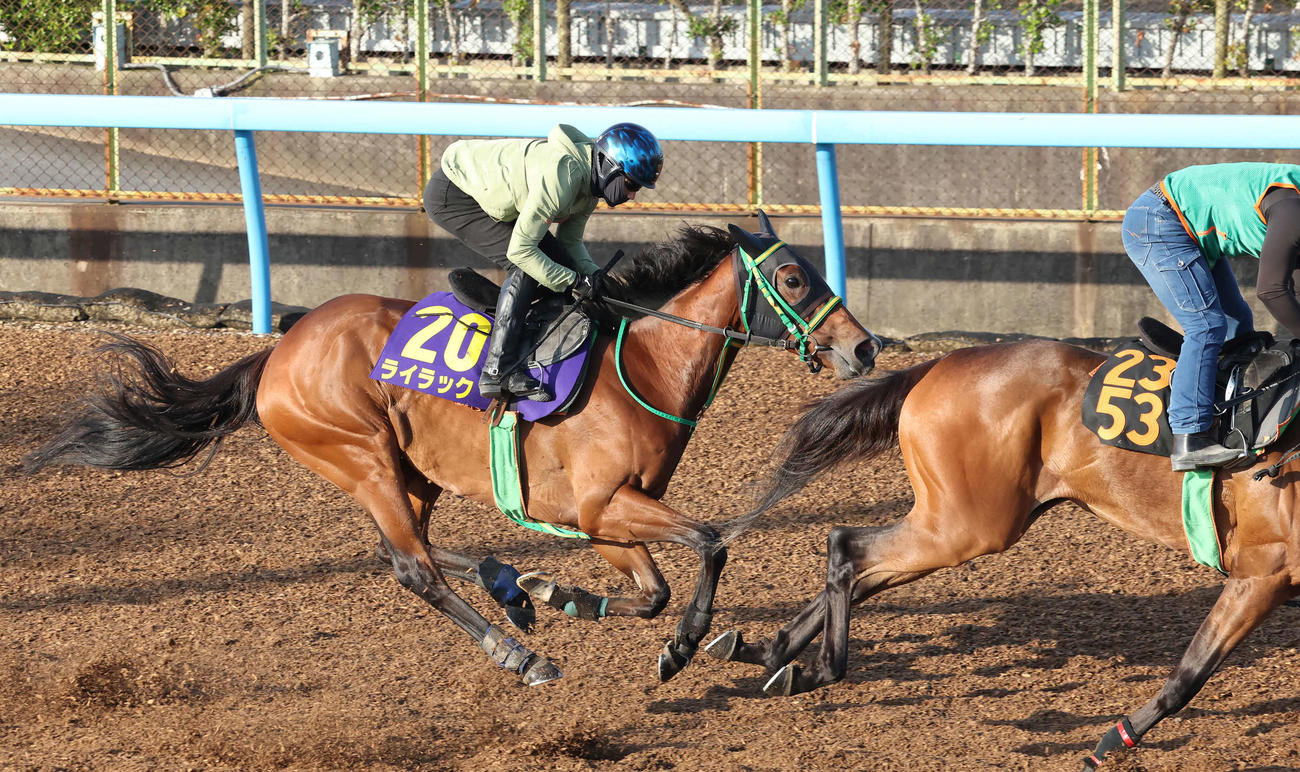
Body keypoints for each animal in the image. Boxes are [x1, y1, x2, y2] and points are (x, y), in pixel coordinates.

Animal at [24, 213, 880, 688]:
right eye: (794, 278)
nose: (865, 347)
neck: (643, 365)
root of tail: (279, 349)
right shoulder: (605, 505)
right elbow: (709, 544)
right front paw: (685, 643)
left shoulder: (606, 519)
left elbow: (652, 590)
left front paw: (565, 595)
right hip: (361, 453)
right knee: (412, 567)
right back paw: (518, 654)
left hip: (412, 472)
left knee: (416, 549)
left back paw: (513, 586)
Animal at [705, 338, 1300, 769]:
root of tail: (943, 362)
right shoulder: (1262, 571)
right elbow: (1191, 672)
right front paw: (1112, 740)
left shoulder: (1268, 578)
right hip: (966, 524)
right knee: (846, 546)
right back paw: (815, 667)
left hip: (970, 519)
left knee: (865, 571)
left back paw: (770, 651)